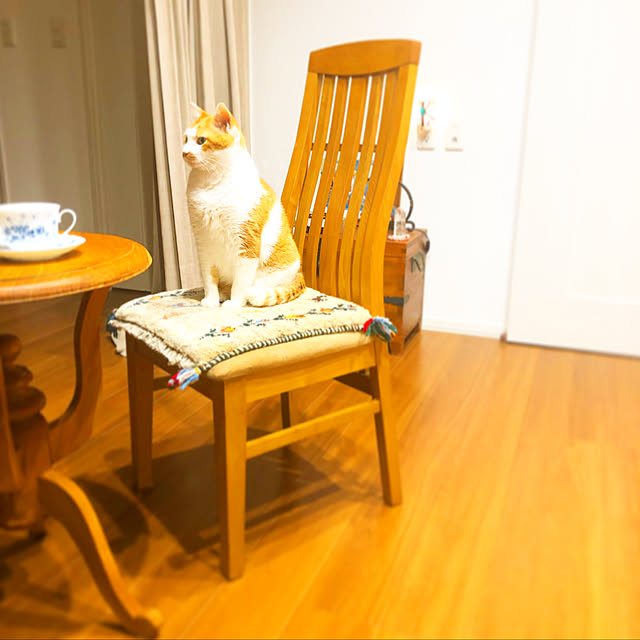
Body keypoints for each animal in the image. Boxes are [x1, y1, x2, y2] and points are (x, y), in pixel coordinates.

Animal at [182, 103, 305, 308]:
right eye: (185, 139)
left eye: (201, 140)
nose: (184, 152)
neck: (210, 183)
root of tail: (300, 273)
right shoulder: (203, 241)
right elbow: (209, 278)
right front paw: (211, 300)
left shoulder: (246, 243)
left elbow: (240, 283)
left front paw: (235, 303)